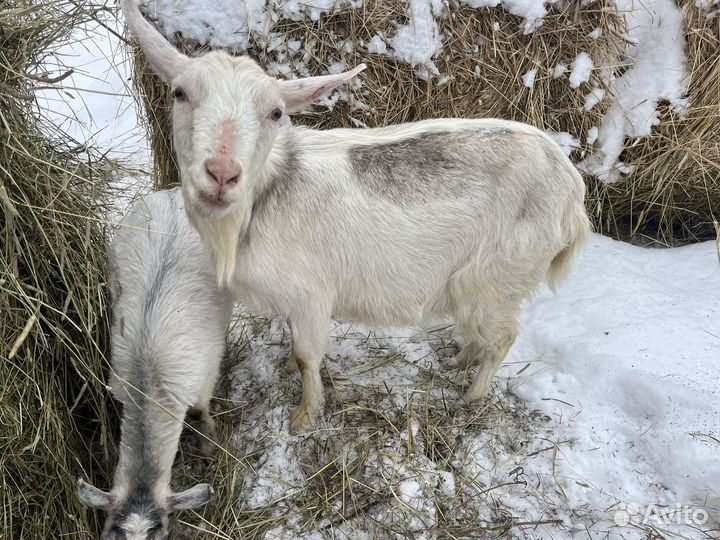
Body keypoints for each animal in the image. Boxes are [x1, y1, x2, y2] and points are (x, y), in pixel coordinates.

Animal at [77, 188, 233, 539]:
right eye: (115, 531)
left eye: (158, 531)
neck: (148, 383)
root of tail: (174, 194)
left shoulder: (204, 377)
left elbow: (201, 412)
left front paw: (209, 447)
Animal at [120, 0, 591, 433]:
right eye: (179, 93)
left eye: (275, 112)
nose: (222, 174)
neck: (264, 197)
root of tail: (571, 187)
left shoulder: (311, 294)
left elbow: (307, 356)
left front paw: (305, 415)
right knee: (482, 331)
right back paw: (457, 361)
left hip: (498, 274)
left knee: (503, 337)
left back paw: (471, 396)